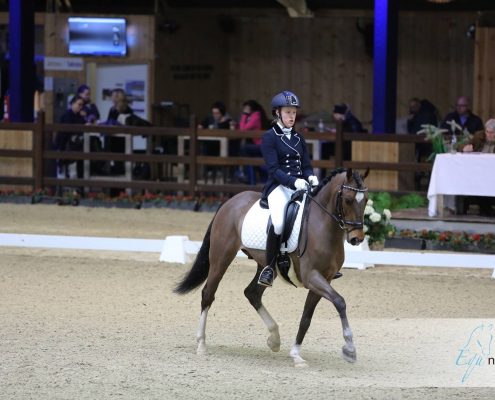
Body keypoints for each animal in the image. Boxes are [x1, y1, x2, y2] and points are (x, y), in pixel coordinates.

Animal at [174, 167, 368, 368]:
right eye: (348, 200)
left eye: (366, 200)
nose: (357, 239)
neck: (322, 225)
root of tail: (230, 202)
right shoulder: (312, 277)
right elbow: (339, 301)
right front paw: (350, 348)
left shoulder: (324, 279)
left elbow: (306, 318)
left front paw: (296, 354)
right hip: (221, 258)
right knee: (208, 294)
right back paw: (201, 344)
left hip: (266, 265)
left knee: (252, 293)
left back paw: (274, 339)